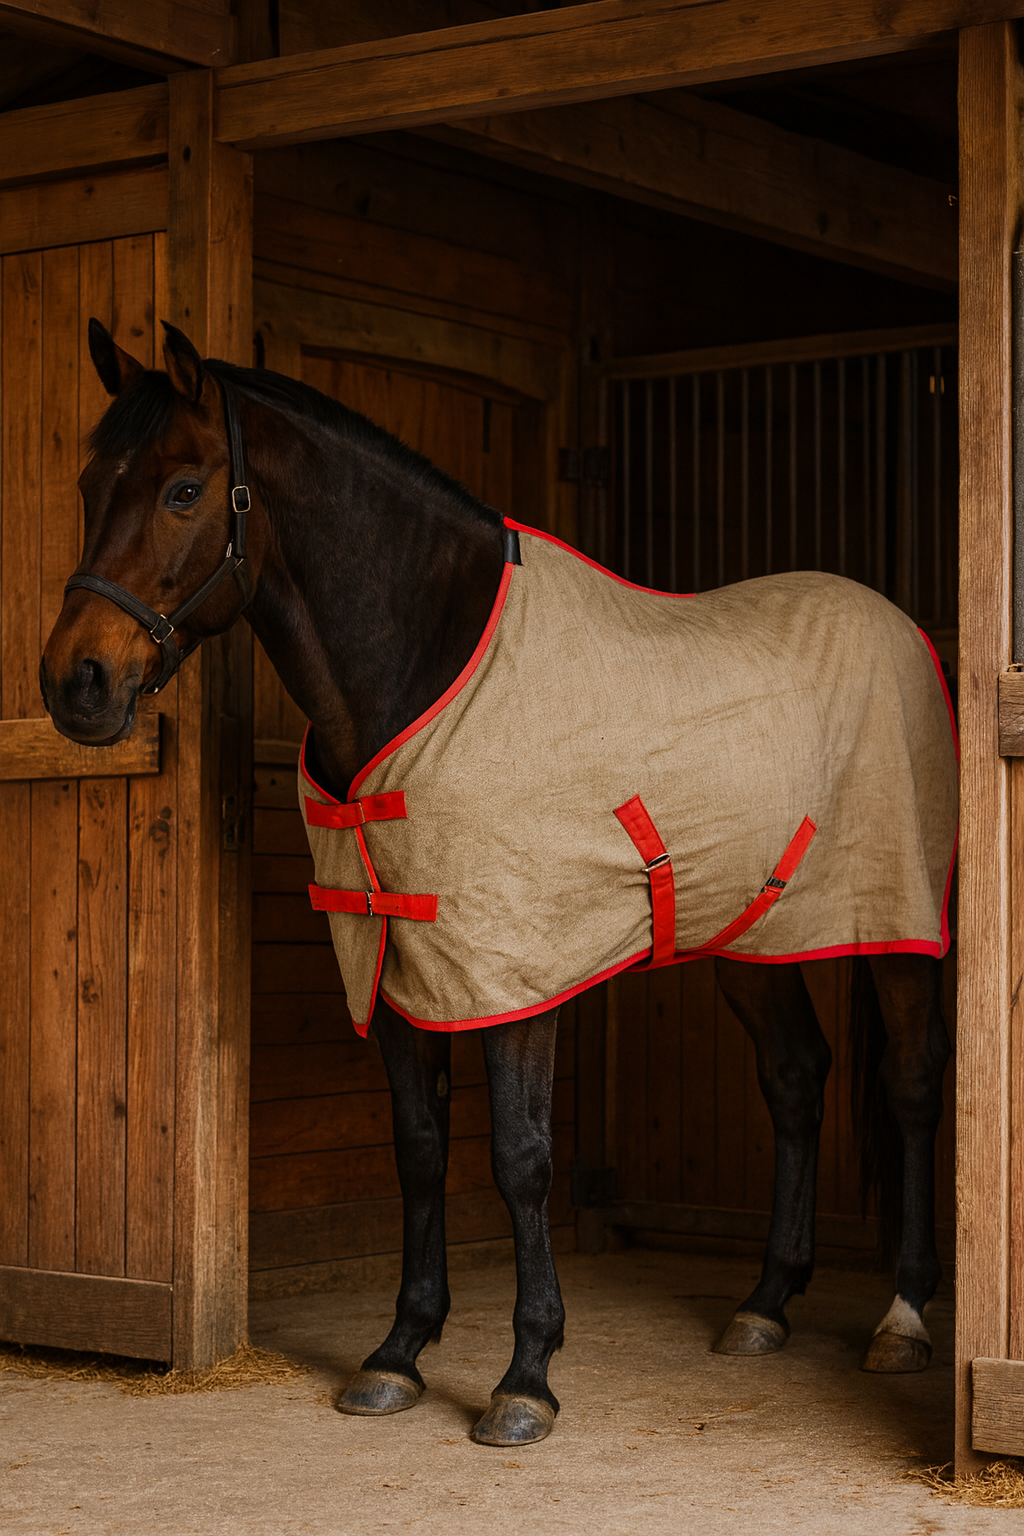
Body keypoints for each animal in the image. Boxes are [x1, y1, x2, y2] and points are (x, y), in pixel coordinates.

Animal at [40, 320, 956, 1449]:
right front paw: (396, 1354)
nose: (73, 684)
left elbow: (520, 1159)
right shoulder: (395, 964)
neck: (429, 665)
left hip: (896, 925)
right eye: (91, 484)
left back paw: (903, 1317)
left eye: (181, 489)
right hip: (748, 932)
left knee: (911, 1084)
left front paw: (526, 1378)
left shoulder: (513, 966)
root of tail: (897, 624)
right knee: (794, 1077)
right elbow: (421, 1149)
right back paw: (765, 1303)